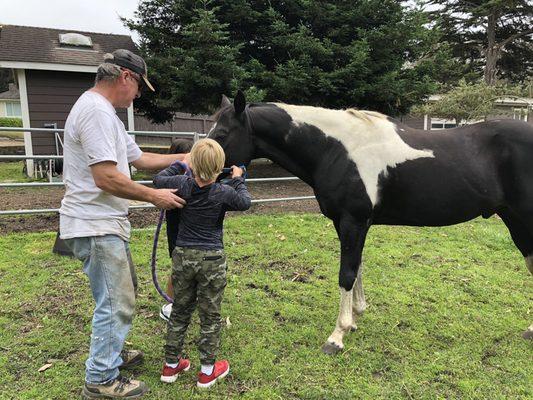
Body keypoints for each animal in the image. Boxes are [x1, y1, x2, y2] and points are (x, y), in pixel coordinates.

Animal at [207, 91, 532, 354]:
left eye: (221, 133)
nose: (203, 173)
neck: (336, 149)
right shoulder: (347, 223)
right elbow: (358, 266)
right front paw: (354, 317)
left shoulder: (354, 220)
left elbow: (346, 273)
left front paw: (337, 336)